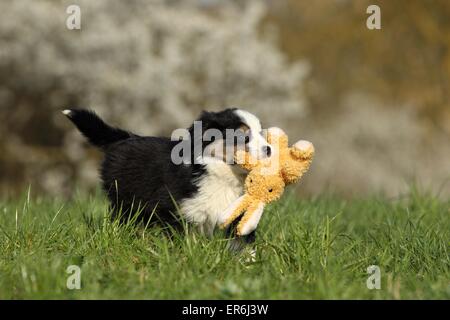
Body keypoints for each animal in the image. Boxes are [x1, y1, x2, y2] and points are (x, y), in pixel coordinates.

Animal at [62, 109, 270, 246]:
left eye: (261, 132)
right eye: (241, 135)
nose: (269, 150)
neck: (223, 176)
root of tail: (126, 137)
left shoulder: (239, 210)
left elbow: (243, 240)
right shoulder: (172, 208)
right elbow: (180, 239)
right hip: (125, 201)